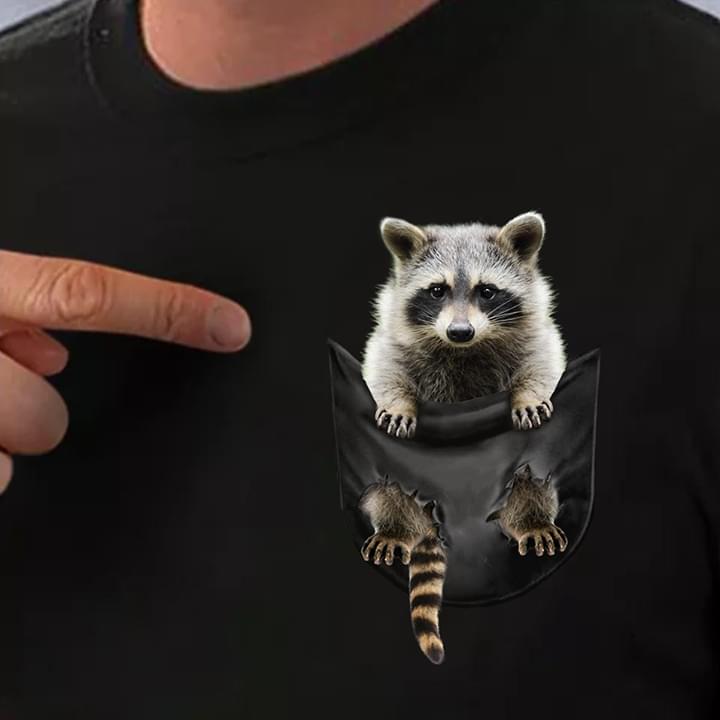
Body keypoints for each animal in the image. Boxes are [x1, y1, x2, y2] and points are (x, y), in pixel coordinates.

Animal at [359, 212, 568, 663]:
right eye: (437, 290)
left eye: (486, 291)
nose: (459, 331)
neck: (463, 351)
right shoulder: (391, 338)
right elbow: (384, 367)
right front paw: (398, 403)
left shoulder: (538, 336)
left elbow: (542, 362)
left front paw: (529, 394)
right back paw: (395, 526)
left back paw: (531, 520)